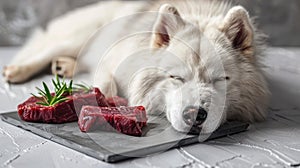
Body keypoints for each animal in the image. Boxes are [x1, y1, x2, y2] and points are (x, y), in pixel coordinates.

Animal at [1, 0, 270, 134]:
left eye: (219, 79)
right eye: (176, 77)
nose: (194, 114)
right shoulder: (110, 61)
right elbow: (105, 85)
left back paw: (64, 66)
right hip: (82, 36)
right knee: (47, 49)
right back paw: (16, 70)